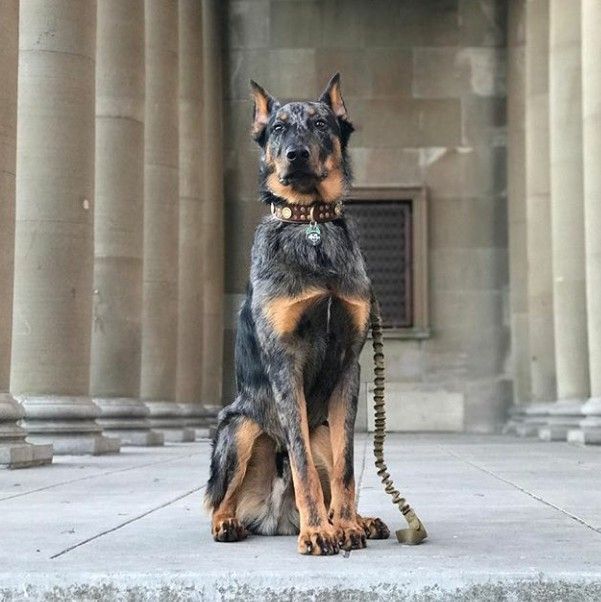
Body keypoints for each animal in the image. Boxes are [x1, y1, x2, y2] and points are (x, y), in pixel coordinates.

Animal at [204, 74, 390, 552]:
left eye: (322, 124)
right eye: (278, 128)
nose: (296, 155)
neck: (311, 223)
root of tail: (274, 515)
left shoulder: (348, 367)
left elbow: (345, 468)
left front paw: (345, 525)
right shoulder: (284, 362)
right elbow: (301, 461)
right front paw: (319, 532)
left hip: (321, 428)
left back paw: (359, 520)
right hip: (240, 426)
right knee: (219, 499)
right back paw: (231, 523)